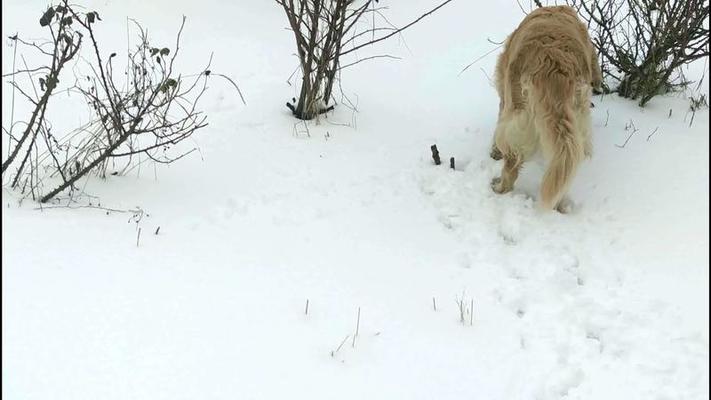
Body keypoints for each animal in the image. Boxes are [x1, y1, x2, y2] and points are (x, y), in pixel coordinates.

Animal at [490, 5, 600, 212]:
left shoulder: (505, 102)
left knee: (512, 164)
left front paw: (494, 152)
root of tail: (554, 65)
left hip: (518, 116)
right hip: (576, 122)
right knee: (566, 168)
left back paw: (499, 187)